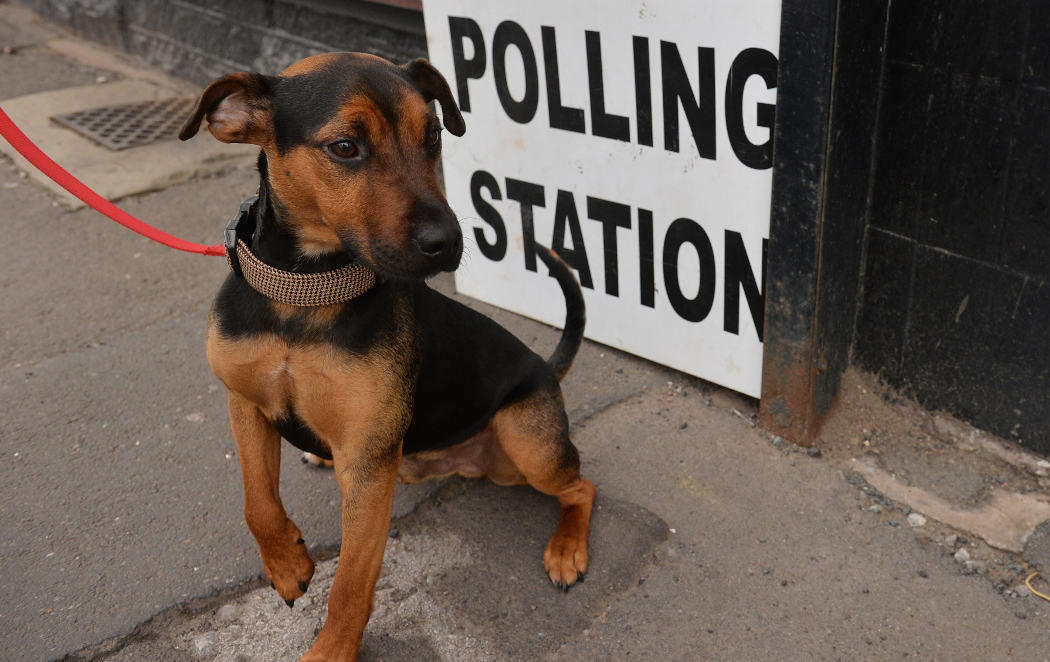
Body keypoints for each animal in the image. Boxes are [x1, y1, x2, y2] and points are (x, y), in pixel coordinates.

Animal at [176, 53, 596, 662]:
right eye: (345, 147)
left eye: (434, 135)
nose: (449, 242)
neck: (304, 294)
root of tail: (545, 368)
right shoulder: (245, 404)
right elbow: (258, 502)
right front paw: (286, 563)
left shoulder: (369, 466)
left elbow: (351, 583)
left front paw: (330, 652)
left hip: (528, 445)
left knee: (582, 487)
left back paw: (567, 550)